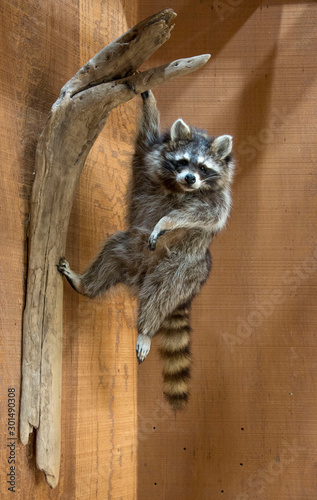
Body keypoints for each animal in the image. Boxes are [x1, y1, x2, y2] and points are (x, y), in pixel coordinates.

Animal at [58, 90, 233, 410]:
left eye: (203, 168)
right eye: (183, 162)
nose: (190, 178)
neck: (180, 189)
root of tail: (141, 274)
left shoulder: (217, 202)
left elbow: (203, 216)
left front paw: (168, 220)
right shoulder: (147, 161)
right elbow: (145, 140)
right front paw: (147, 98)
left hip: (185, 267)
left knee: (162, 290)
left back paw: (146, 328)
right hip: (133, 249)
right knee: (113, 251)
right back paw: (86, 284)